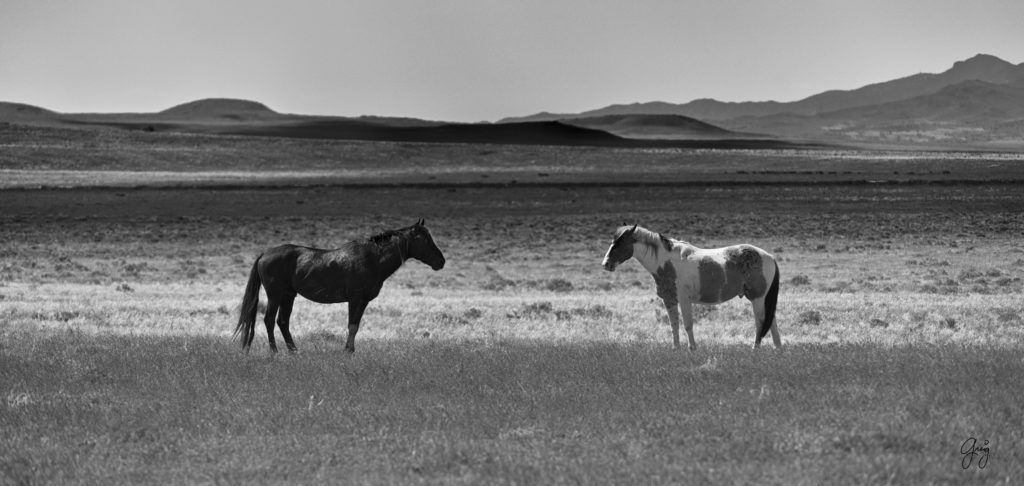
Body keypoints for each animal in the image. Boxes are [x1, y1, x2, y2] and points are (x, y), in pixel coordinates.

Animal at [235, 221, 444, 354]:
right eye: (423, 239)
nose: (441, 261)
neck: (372, 259)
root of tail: (264, 254)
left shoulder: (363, 302)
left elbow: (356, 326)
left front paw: (350, 350)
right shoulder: (355, 299)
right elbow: (352, 325)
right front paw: (348, 351)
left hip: (288, 295)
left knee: (282, 322)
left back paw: (294, 351)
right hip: (275, 295)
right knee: (270, 320)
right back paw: (275, 352)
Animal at [598, 224, 782, 349]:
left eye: (620, 243)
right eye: (613, 241)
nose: (606, 264)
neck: (667, 262)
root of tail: (769, 256)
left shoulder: (684, 300)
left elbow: (687, 324)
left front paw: (692, 348)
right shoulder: (669, 300)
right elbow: (674, 325)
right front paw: (676, 348)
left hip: (757, 298)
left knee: (761, 322)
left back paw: (755, 349)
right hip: (762, 299)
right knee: (771, 321)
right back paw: (777, 347)